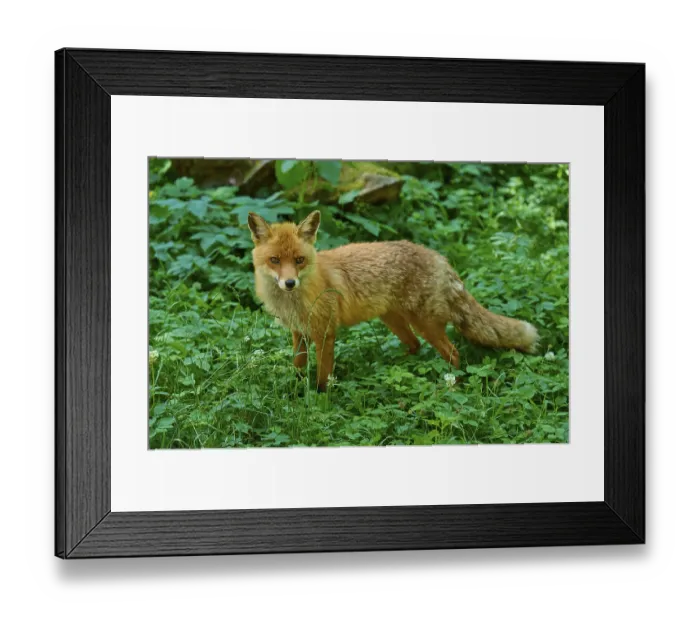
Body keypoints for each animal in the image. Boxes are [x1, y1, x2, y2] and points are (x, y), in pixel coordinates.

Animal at [248, 210, 539, 392]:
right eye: (275, 260)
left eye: (299, 260)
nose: (289, 283)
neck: (296, 300)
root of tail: (438, 257)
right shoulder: (298, 332)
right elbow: (298, 367)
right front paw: (296, 391)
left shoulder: (325, 334)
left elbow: (322, 377)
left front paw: (321, 401)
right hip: (393, 320)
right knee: (415, 346)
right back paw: (399, 367)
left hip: (425, 324)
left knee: (452, 353)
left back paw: (449, 385)